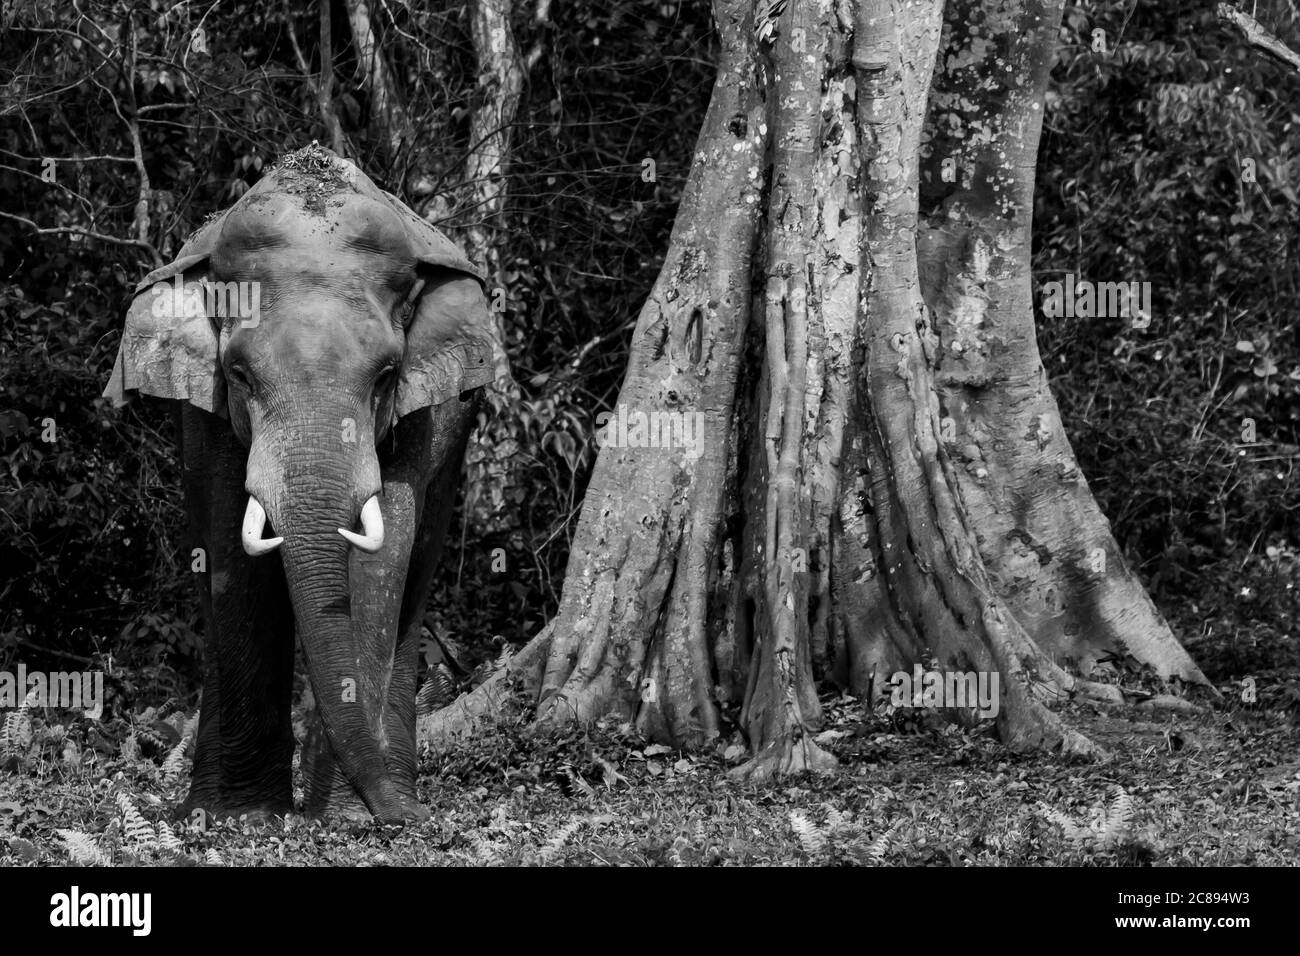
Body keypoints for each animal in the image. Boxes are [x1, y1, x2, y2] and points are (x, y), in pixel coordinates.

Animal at [104, 145, 499, 827]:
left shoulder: (421, 414)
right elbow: (231, 549)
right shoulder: (206, 411)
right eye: (238, 373)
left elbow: (383, 552)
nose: (406, 823)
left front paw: (343, 819)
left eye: (387, 375)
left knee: (420, 568)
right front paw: (240, 818)